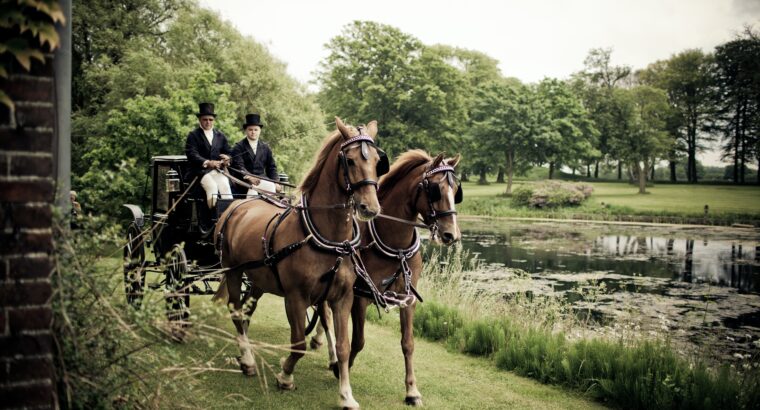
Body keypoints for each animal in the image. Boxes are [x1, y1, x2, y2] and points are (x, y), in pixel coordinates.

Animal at [214, 117, 388, 408]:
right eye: (350, 160)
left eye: (377, 161)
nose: (370, 208)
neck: (329, 239)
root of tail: (237, 206)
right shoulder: (295, 296)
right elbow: (298, 344)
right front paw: (285, 376)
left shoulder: (341, 298)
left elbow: (343, 346)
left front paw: (346, 394)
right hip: (233, 270)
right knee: (236, 310)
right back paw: (247, 359)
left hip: (259, 278)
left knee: (247, 310)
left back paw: (244, 350)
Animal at [310, 150, 464, 404]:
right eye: (435, 189)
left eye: (456, 191)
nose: (452, 234)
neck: (396, 246)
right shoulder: (360, 297)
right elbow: (358, 340)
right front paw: (342, 370)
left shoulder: (407, 299)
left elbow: (408, 343)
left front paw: (412, 390)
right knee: (325, 316)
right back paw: (328, 352)